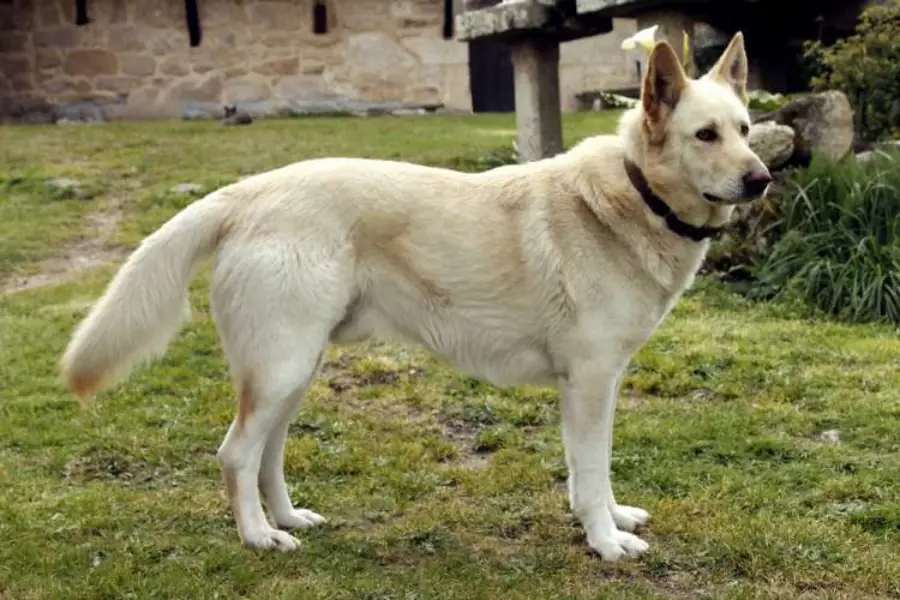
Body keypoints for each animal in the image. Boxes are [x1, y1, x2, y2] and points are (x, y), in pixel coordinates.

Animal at [61, 32, 768, 560]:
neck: (634, 196)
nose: (762, 179)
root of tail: (251, 191)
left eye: (746, 129)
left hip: (295, 372)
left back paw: (289, 519)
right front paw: (606, 541)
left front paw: (612, 520)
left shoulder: (594, 386)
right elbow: (592, 471)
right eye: (705, 135)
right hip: (283, 367)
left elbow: (588, 469)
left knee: (269, 454)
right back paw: (259, 537)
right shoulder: (590, 381)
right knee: (236, 454)